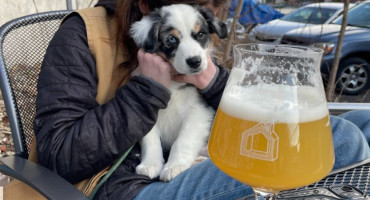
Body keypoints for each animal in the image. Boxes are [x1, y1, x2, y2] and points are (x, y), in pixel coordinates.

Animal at [130, 3, 228, 182]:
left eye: (200, 34)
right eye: (171, 39)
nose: (195, 61)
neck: (173, 84)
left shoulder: (199, 112)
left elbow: (183, 140)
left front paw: (174, 166)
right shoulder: (148, 113)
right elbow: (150, 140)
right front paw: (150, 165)